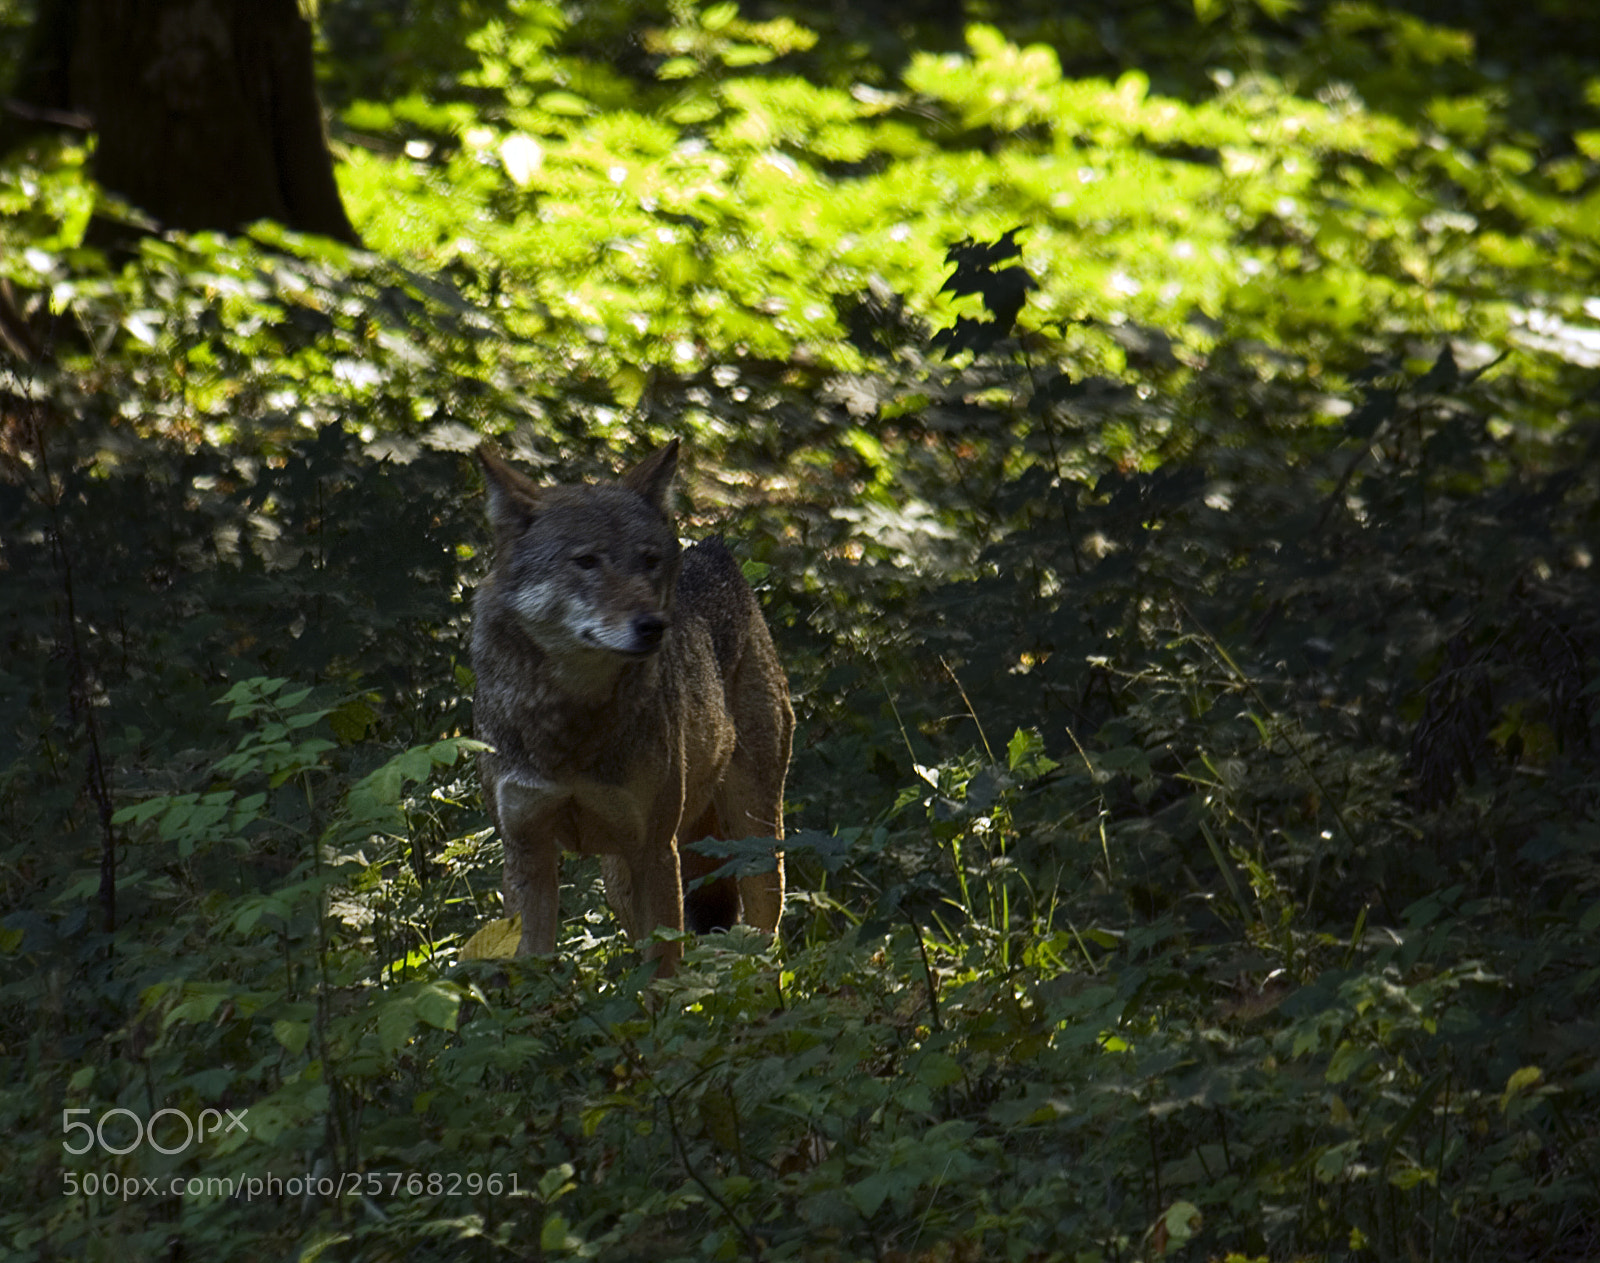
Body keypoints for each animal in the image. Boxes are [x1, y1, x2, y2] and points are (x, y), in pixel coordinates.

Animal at [470, 439, 790, 976]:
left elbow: (661, 977)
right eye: (586, 561)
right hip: (619, 877)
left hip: (753, 840)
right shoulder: (527, 853)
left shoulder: (654, 852)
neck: (568, 729)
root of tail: (715, 551)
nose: (653, 625)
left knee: (766, 941)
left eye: (649, 561)